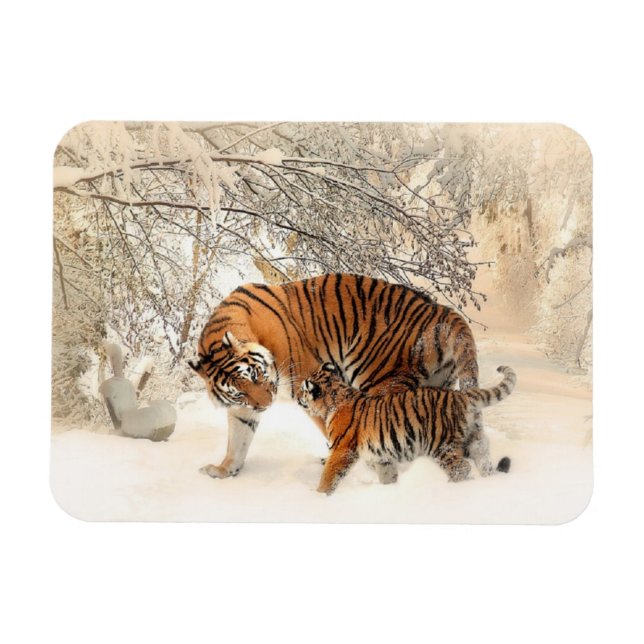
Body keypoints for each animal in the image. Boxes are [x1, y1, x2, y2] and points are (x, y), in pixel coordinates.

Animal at [189, 273, 481, 479]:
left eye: (256, 375)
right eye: (239, 391)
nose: (266, 405)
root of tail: (442, 311)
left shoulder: (309, 383)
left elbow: (333, 430)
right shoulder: (242, 408)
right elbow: (237, 440)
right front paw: (224, 470)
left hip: (380, 380)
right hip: (437, 386)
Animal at [297, 362, 516, 495]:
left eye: (303, 390)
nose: (298, 397)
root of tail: (462, 395)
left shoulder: (342, 450)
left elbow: (329, 475)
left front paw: (319, 496)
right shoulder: (382, 456)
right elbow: (388, 475)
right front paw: (390, 490)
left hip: (441, 445)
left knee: (461, 468)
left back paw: (448, 488)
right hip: (475, 439)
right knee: (483, 461)